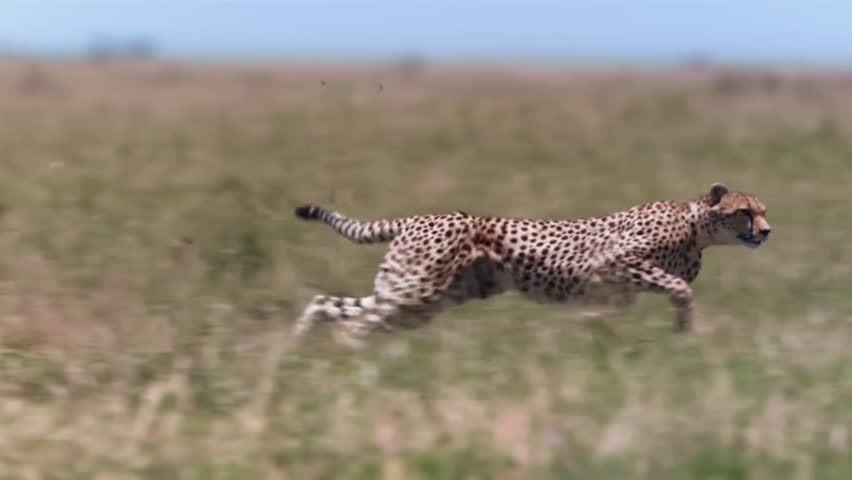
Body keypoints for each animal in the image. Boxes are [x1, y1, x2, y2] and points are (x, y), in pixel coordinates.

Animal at [292, 183, 770, 346]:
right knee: (355, 322)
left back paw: (299, 346)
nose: (766, 231)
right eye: (745, 211)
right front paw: (684, 327)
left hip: (420, 298)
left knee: (328, 303)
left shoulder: (615, 293)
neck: (697, 226)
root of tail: (420, 216)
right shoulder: (616, 261)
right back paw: (348, 358)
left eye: (764, 210)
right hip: (416, 290)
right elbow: (680, 288)